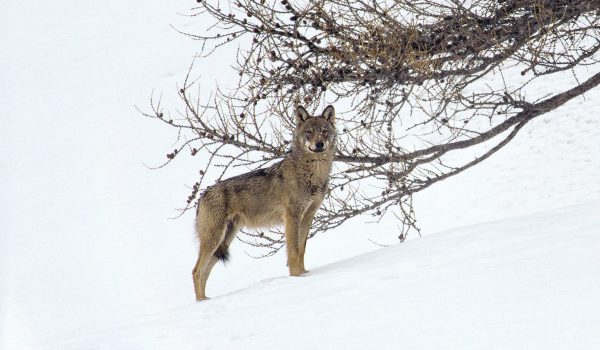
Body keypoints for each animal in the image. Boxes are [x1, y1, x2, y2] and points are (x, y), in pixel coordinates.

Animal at [191, 104, 336, 300]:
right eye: (309, 132)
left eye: (324, 131)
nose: (319, 144)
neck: (312, 174)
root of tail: (202, 195)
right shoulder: (292, 217)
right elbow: (294, 252)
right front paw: (296, 278)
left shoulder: (308, 217)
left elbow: (302, 250)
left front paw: (304, 274)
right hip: (214, 239)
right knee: (196, 271)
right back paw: (201, 301)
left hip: (224, 241)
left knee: (205, 272)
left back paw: (205, 301)